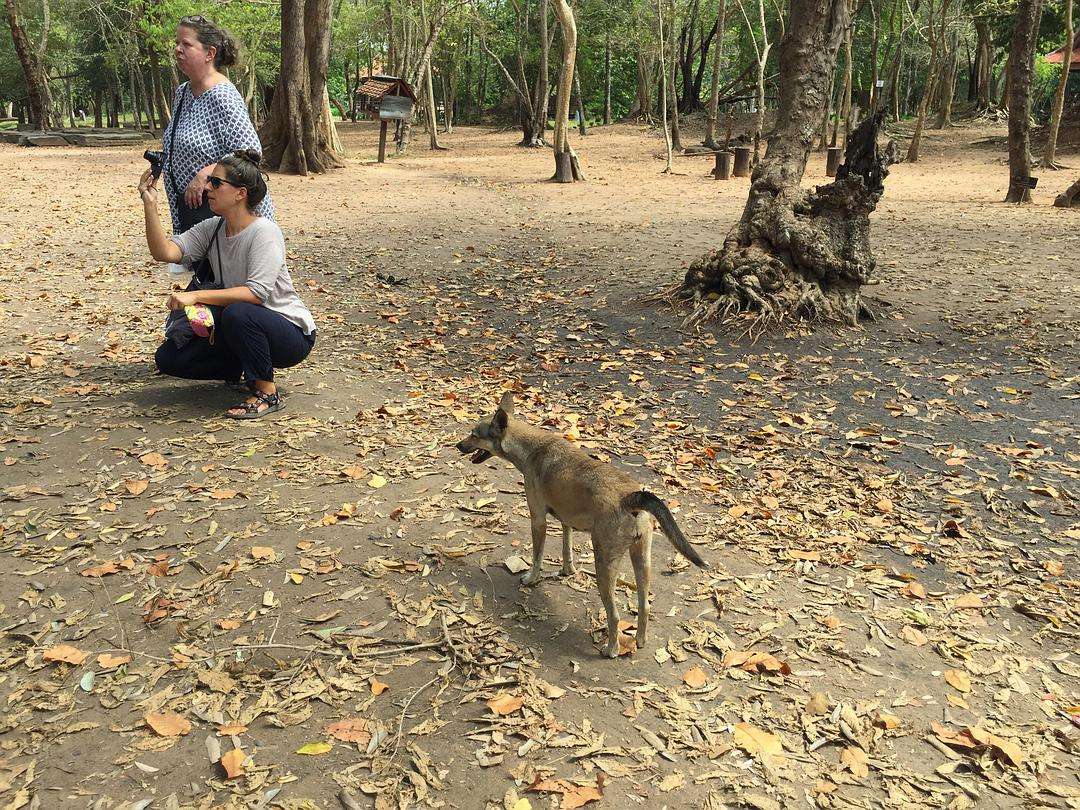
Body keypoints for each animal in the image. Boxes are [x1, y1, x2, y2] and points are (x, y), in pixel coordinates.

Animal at [455, 393, 708, 660]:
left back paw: (611, 649)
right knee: (644, 605)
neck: (530, 447)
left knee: (614, 615)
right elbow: (566, 549)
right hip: (641, 559)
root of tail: (630, 498)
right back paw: (640, 640)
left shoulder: (538, 520)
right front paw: (568, 571)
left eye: (474, 434)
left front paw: (531, 578)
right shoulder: (566, 521)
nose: (458, 445)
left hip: (605, 565)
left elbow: (537, 556)